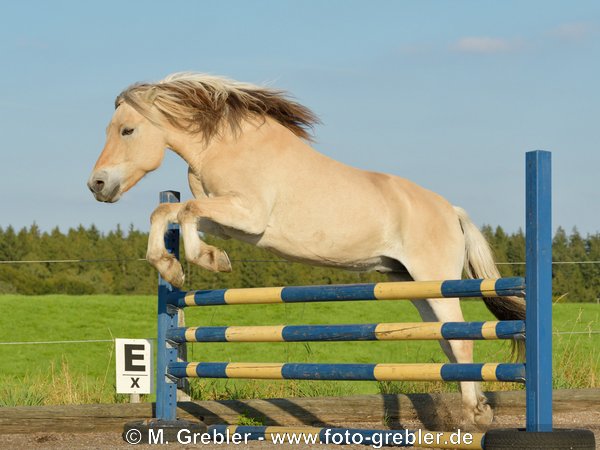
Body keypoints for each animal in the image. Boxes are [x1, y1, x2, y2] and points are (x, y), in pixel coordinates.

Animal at [86, 72, 524, 428]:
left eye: (127, 131)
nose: (97, 185)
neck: (224, 145)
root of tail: (451, 210)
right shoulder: (230, 220)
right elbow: (169, 212)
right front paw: (172, 266)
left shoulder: (248, 215)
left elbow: (186, 211)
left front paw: (207, 261)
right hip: (412, 284)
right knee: (447, 341)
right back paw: (481, 409)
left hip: (434, 280)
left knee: (461, 340)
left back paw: (473, 416)